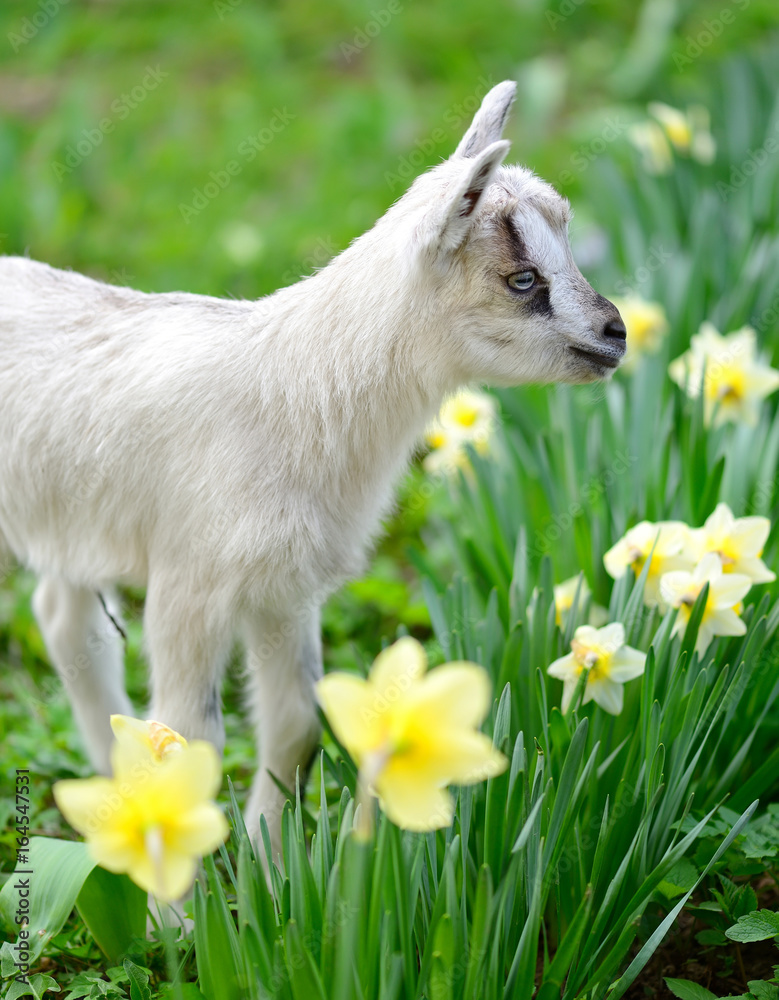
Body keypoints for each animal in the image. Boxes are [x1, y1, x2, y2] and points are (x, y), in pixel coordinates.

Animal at [0, 81, 625, 861]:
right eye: (521, 279)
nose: (616, 333)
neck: (291, 386)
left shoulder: (283, 586)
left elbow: (296, 728)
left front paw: (269, 865)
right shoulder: (190, 584)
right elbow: (187, 739)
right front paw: (184, 890)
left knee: (63, 621)